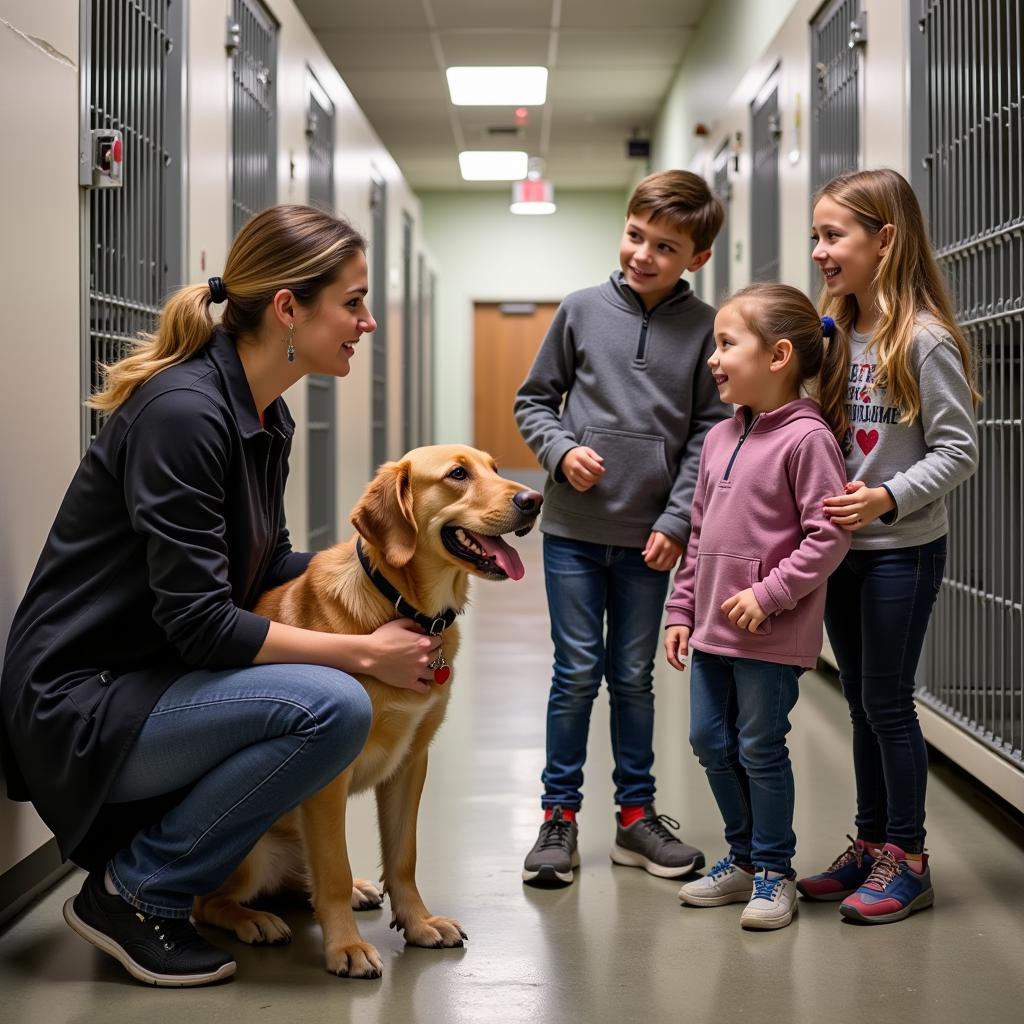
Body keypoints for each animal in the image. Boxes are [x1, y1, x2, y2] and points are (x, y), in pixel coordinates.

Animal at [192, 444, 544, 978]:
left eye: (495, 469)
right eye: (457, 474)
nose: (534, 499)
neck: (402, 606)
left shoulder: (411, 763)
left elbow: (403, 857)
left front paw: (418, 923)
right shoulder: (330, 780)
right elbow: (333, 870)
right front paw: (346, 948)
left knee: (301, 885)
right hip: (252, 853)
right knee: (207, 903)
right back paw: (255, 920)